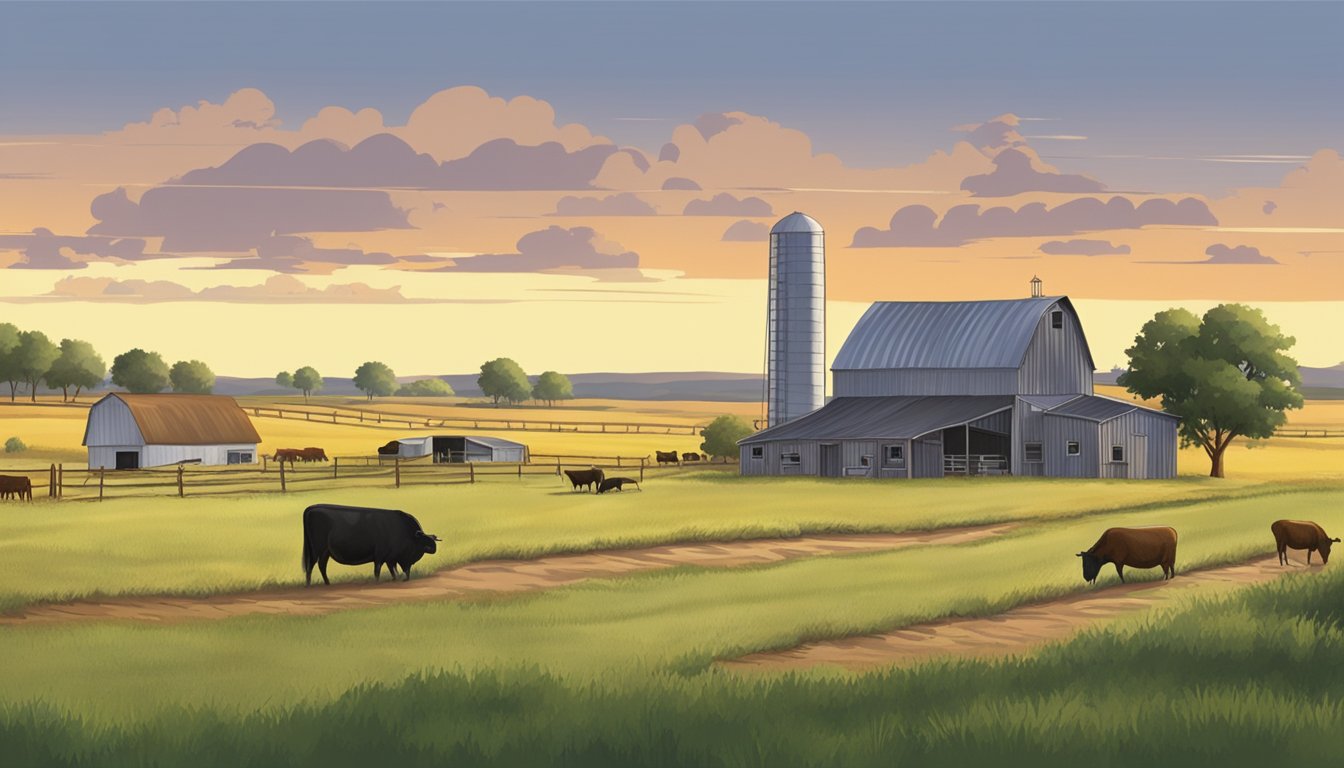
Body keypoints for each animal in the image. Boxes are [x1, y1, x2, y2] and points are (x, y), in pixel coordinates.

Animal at [301, 503, 440, 586]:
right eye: (424, 540)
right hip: (316, 550)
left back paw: (327, 583)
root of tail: (311, 508)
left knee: (321, 565)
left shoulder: (391, 558)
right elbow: (378, 569)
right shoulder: (380, 555)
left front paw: (397, 578)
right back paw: (308, 584)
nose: (434, 548)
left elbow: (393, 569)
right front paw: (378, 581)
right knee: (311, 565)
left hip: (325, 551)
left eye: (432, 539)